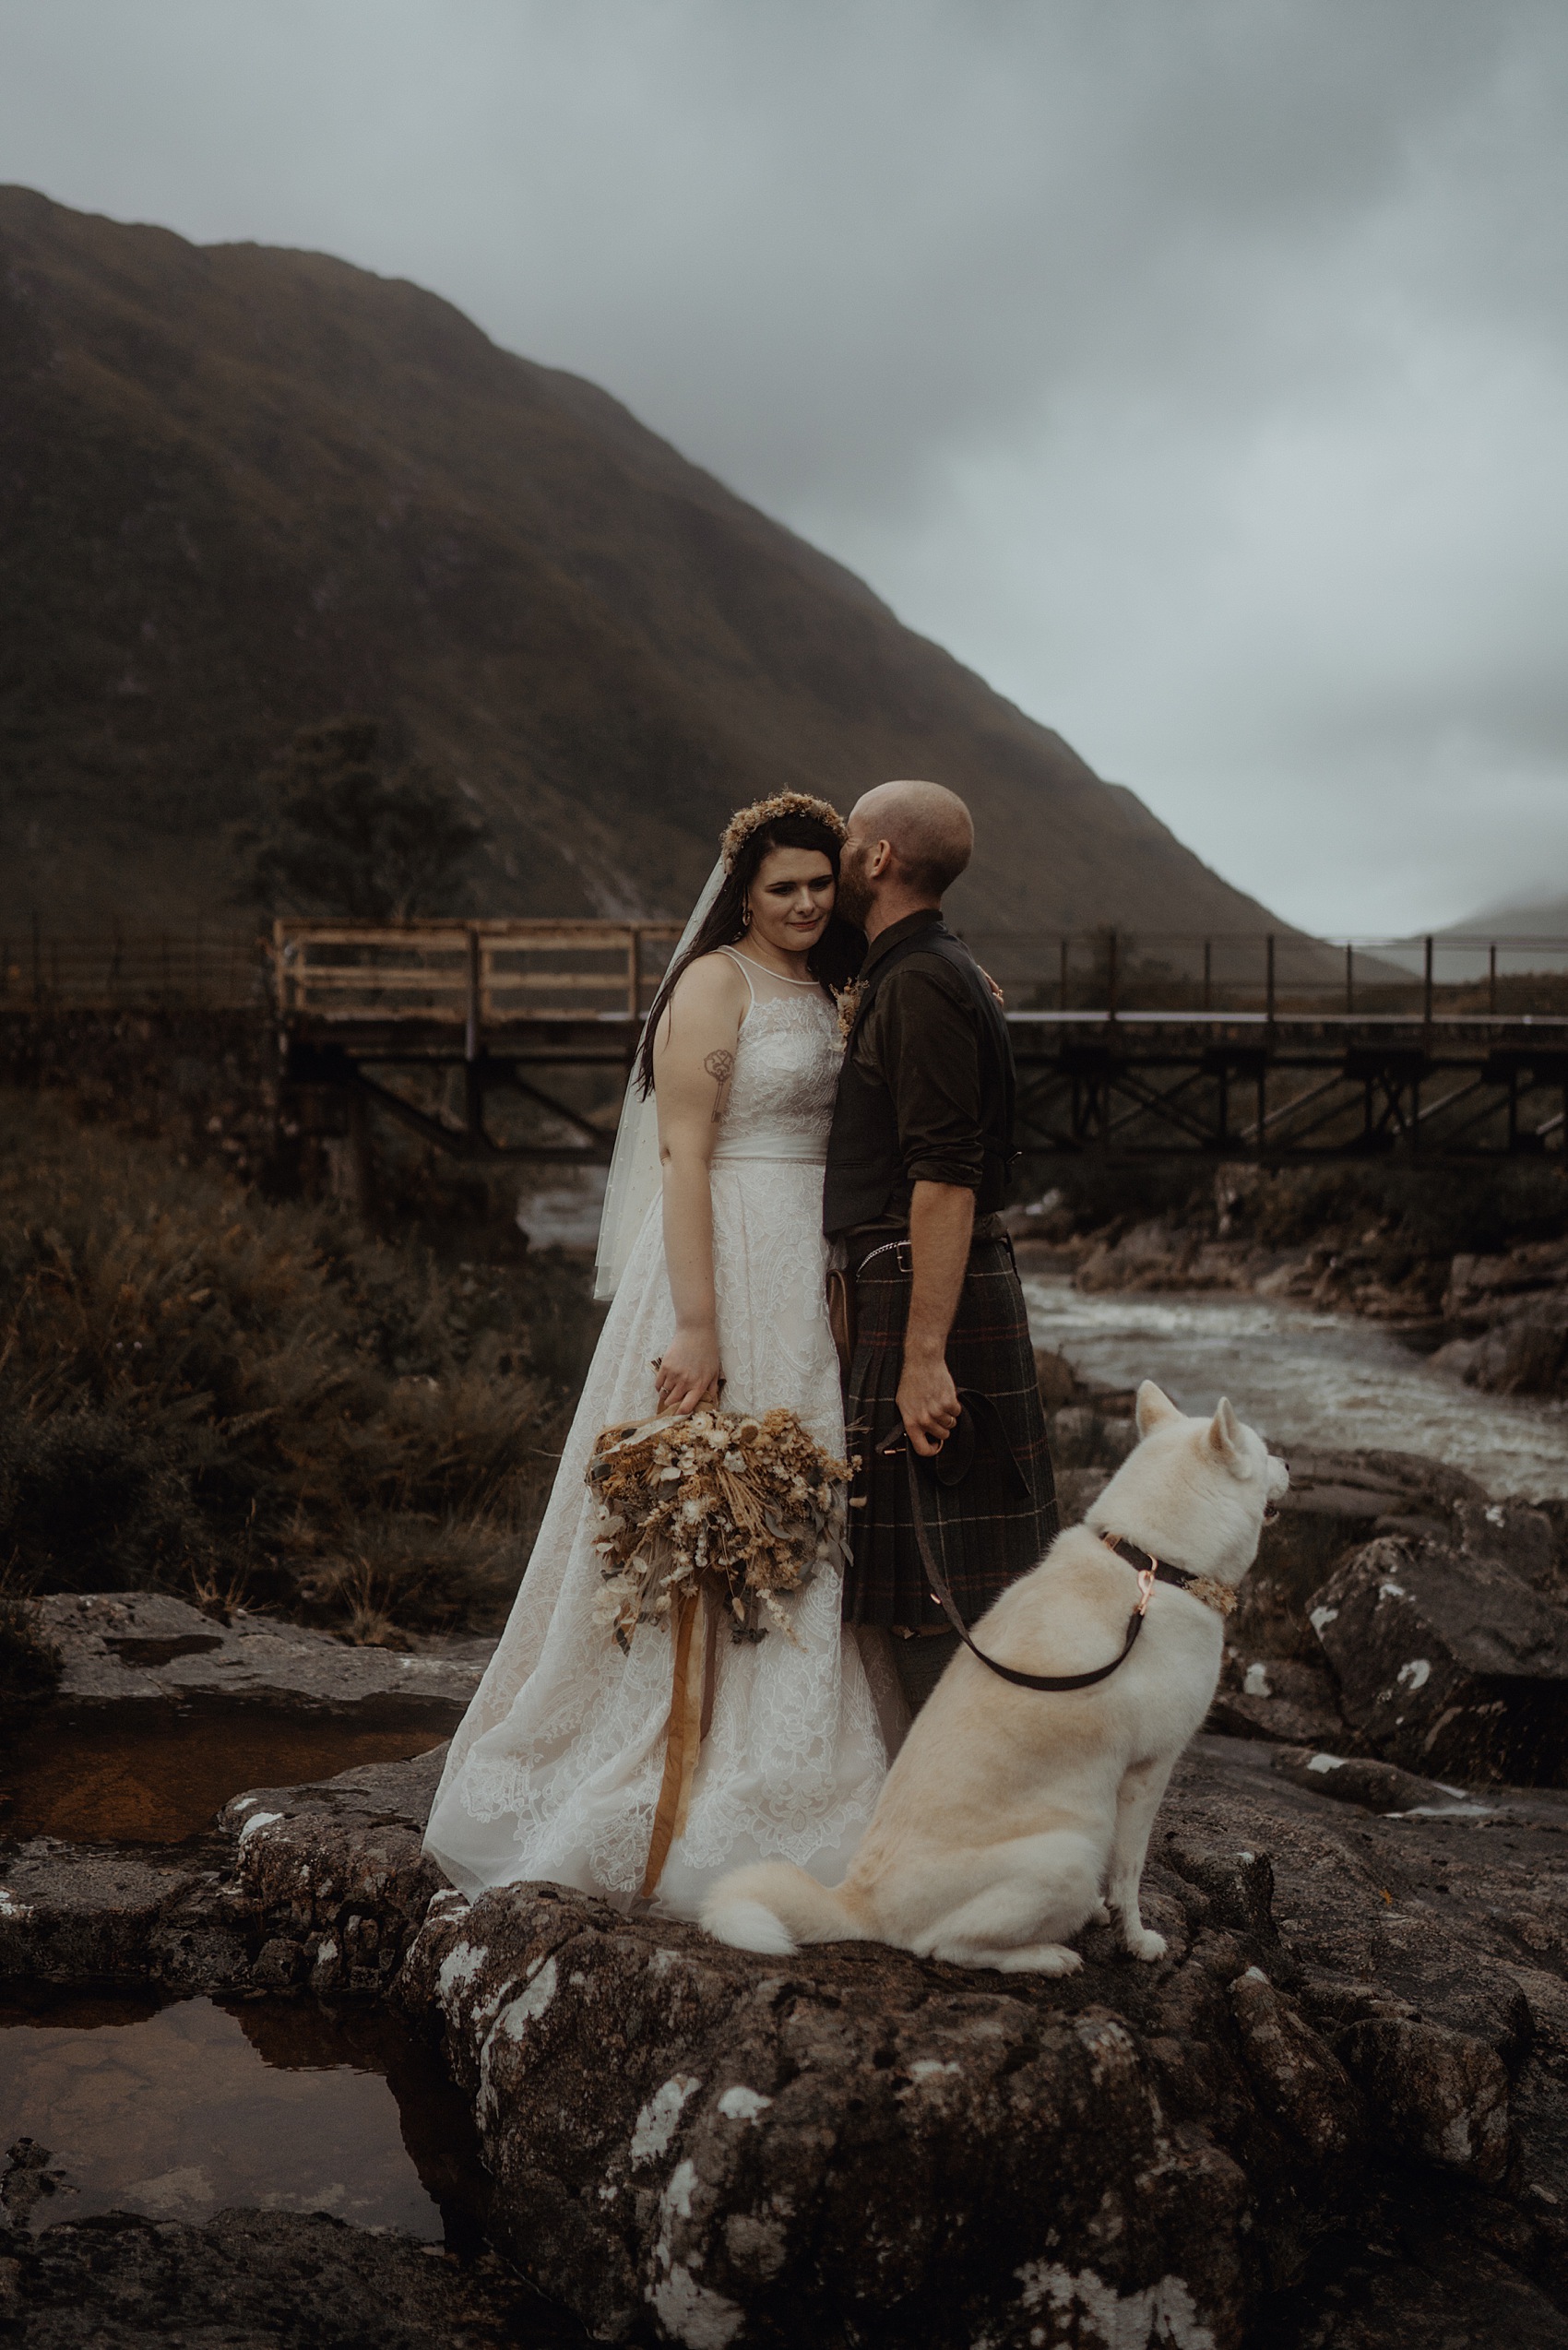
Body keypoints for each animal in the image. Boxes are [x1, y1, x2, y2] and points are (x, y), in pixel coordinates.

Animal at [700, 1382, 1288, 1974]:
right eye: (1264, 1453)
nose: (1288, 1462)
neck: (1148, 1564)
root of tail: (858, 1903)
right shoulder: (1148, 1772)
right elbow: (1130, 1874)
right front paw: (1137, 1938)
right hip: (1072, 1850)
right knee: (946, 1947)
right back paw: (1047, 1955)